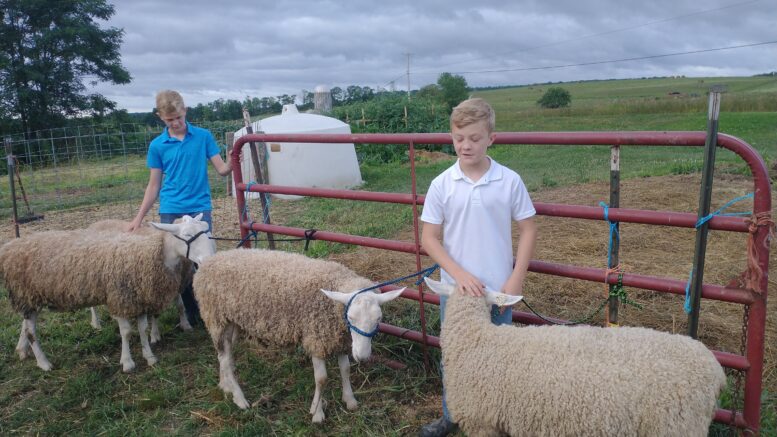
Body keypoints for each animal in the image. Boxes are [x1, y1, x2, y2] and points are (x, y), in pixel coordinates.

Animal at [0, 215, 214, 372]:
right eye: (187, 234)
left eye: (206, 229)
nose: (210, 259)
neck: (152, 252)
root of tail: (9, 247)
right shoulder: (119, 297)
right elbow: (126, 332)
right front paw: (127, 362)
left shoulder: (139, 298)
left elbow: (143, 328)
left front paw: (150, 356)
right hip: (26, 294)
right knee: (31, 331)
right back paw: (44, 363)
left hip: (30, 297)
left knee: (25, 325)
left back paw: (22, 350)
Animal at [192, 249, 404, 422]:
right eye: (350, 317)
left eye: (379, 319)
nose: (362, 356)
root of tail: (208, 262)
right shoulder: (316, 337)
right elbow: (322, 379)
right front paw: (317, 412)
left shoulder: (338, 339)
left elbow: (345, 369)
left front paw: (349, 400)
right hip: (216, 318)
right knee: (225, 359)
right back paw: (239, 398)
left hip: (232, 323)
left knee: (223, 356)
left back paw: (225, 385)